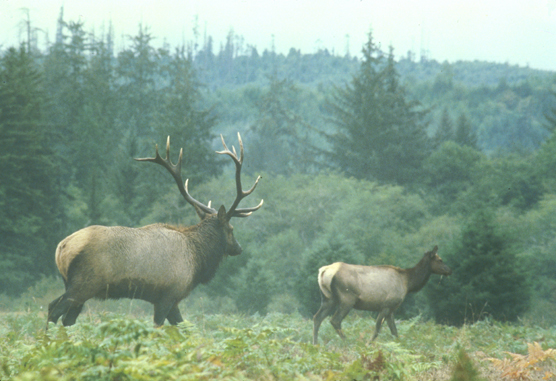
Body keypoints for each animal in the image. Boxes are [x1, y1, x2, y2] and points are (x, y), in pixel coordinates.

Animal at [46, 133, 262, 326]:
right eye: (231, 229)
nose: (239, 248)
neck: (197, 259)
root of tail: (61, 248)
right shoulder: (168, 295)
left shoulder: (171, 301)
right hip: (83, 284)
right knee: (53, 309)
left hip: (77, 287)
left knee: (65, 317)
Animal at [312, 246, 452, 344]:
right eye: (440, 260)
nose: (449, 270)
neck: (407, 283)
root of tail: (323, 271)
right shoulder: (386, 305)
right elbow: (377, 329)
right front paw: (368, 344)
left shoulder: (391, 309)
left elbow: (394, 331)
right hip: (347, 299)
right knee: (335, 320)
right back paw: (348, 342)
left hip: (328, 298)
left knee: (317, 317)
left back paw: (315, 344)